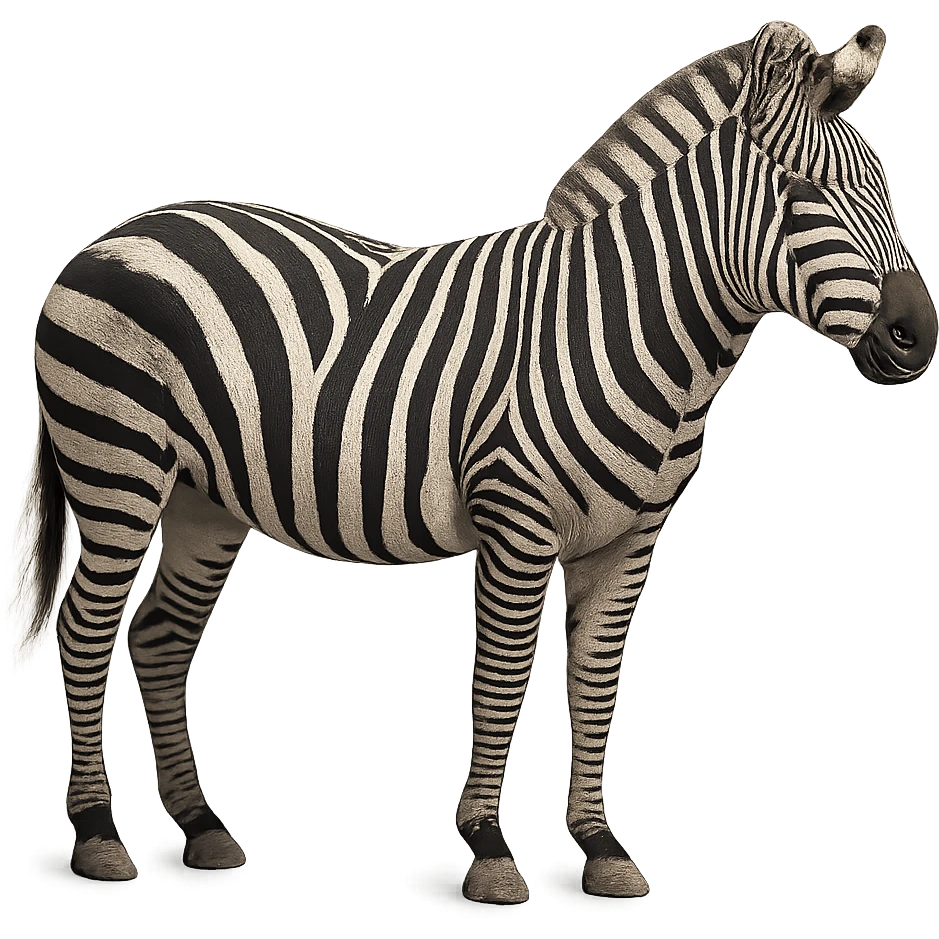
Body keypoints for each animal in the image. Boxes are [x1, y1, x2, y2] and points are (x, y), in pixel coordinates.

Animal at [2, 19, 935, 902]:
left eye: (885, 193)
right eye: (801, 194)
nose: (915, 336)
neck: (623, 320)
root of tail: (113, 235)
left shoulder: (629, 540)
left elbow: (594, 680)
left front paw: (599, 848)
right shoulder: (516, 519)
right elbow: (501, 675)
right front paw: (487, 850)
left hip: (204, 500)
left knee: (159, 638)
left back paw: (200, 827)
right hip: (117, 465)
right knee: (86, 631)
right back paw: (96, 835)